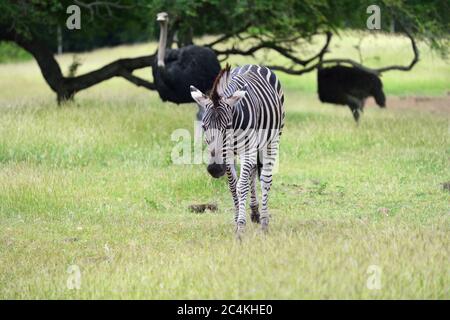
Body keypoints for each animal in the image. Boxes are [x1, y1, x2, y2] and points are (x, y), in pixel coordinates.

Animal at [190, 63, 284, 236]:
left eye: (227, 126)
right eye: (204, 126)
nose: (214, 169)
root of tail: (253, 65)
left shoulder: (247, 150)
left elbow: (242, 186)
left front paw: (240, 228)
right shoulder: (227, 155)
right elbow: (233, 186)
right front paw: (237, 221)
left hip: (272, 139)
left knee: (265, 179)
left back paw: (264, 222)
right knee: (252, 172)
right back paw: (255, 212)